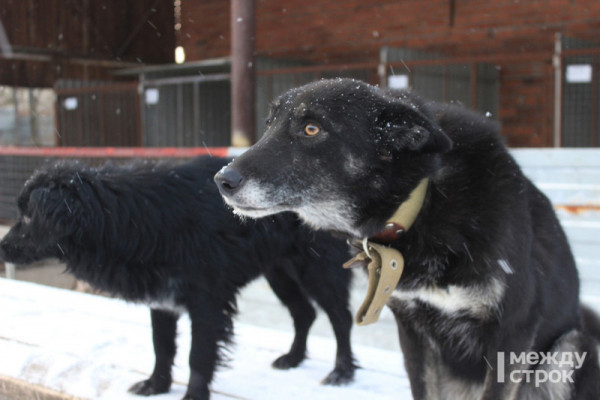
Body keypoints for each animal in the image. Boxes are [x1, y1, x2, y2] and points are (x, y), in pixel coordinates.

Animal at [0, 155, 356, 400]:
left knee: (340, 318)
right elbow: (162, 347)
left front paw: (193, 395)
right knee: (304, 313)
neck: (129, 218)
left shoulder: (207, 302)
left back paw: (342, 372)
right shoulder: (162, 299)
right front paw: (156, 385)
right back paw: (293, 358)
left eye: (28, 217)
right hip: (279, 272)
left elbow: (197, 355)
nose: (1, 248)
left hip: (319, 271)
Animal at [216, 79, 600, 400]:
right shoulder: (413, 332)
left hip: (569, 348)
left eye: (311, 128)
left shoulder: (513, 331)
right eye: (269, 125)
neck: (425, 199)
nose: (223, 179)